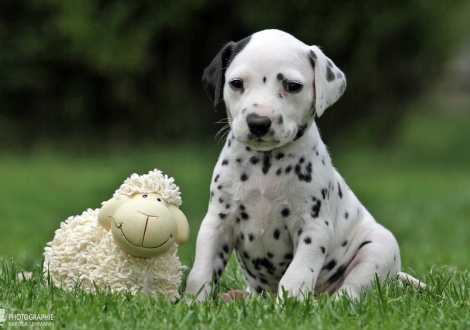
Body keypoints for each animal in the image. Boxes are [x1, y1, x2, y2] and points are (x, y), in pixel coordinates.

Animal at [185, 30, 424, 302]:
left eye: (292, 86)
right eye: (236, 83)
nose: (258, 122)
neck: (266, 164)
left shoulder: (313, 228)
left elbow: (296, 275)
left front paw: (288, 305)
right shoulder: (217, 222)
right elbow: (201, 272)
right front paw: (192, 304)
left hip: (379, 246)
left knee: (352, 289)